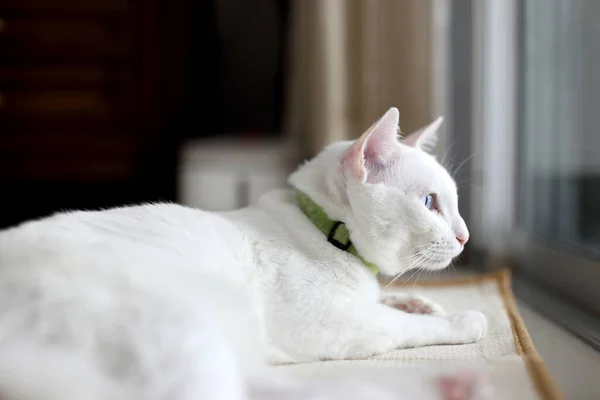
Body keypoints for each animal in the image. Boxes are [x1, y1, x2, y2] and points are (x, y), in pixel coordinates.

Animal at [0, 108, 488, 398]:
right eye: (429, 203)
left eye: (452, 202)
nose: (465, 236)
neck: (323, 229)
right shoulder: (330, 324)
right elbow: (399, 325)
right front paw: (458, 319)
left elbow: (388, 301)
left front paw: (418, 301)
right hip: (178, 327)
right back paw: (444, 382)